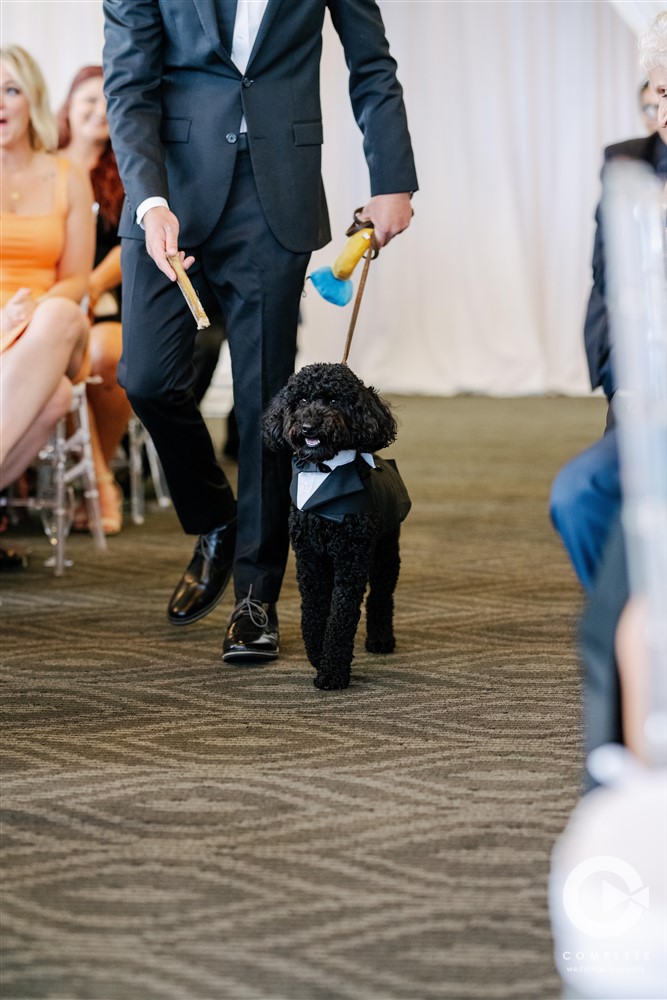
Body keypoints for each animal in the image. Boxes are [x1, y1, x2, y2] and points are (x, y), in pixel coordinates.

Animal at [262, 364, 410, 692]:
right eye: (302, 400)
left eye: (333, 401)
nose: (308, 427)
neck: (322, 472)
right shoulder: (310, 559)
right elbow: (314, 610)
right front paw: (317, 654)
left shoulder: (351, 561)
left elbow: (341, 617)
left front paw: (331, 672)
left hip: (385, 552)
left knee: (381, 595)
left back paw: (381, 640)